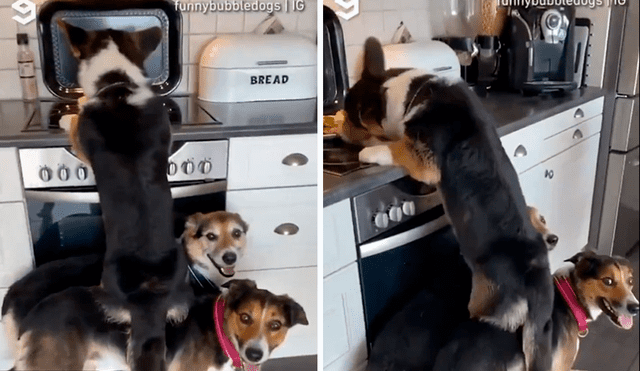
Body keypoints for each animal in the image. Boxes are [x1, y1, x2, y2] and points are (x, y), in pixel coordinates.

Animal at [52, 21, 191, 371]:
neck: (116, 83)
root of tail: (149, 293)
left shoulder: (81, 140)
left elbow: (73, 121)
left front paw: (65, 115)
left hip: (106, 284)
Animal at [344, 38, 556, 371]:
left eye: (350, 117)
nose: (336, 132)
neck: (413, 92)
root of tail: (535, 274)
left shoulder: (422, 158)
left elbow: (394, 148)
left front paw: (368, 152)